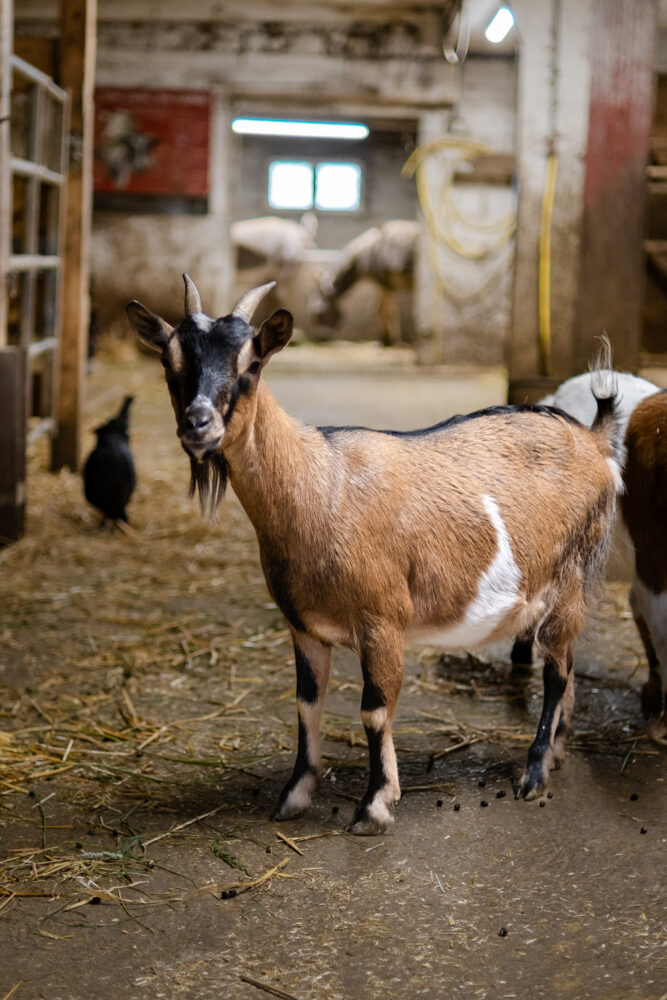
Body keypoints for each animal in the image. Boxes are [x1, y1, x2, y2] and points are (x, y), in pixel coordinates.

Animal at [126, 276, 628, 836]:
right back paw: (558, 752)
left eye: (251, 364)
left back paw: (535, 772)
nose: (198, 424)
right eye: (170, 361)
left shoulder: (382, 620)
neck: (321, 487)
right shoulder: (302, 625)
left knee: (556, 668)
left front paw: (376, 805)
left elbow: (375, 710)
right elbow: (306, 703)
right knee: (567, 659)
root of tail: (595, 440)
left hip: (571, 573)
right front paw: (295, 795)